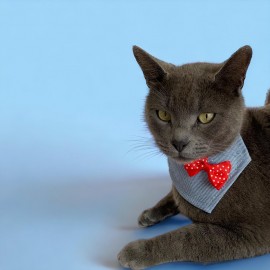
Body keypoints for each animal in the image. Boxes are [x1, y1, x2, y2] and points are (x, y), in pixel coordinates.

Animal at [117, 45, 270, 268]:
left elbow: (187, 238)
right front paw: (151, 213)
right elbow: (174, 195)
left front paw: (137, 251)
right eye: (163, 115)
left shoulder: (255, 232)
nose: (179, 142)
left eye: (206, 117)